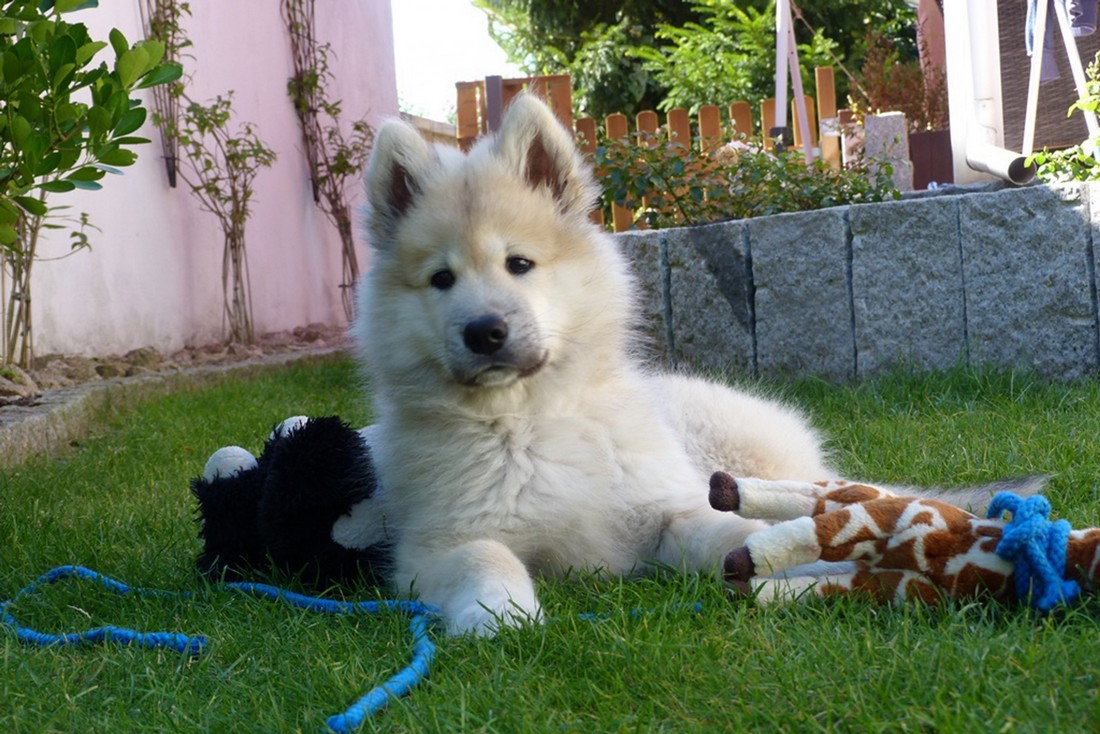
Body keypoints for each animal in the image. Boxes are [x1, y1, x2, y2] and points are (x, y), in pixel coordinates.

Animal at [342, 94, 1020, 635]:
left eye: (519, 264)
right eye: (441, 279)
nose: (484, 331)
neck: (533, 418)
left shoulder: (668, 512)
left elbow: (732, 535)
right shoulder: (439, 542)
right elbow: (484, 558)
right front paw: (499, 616)